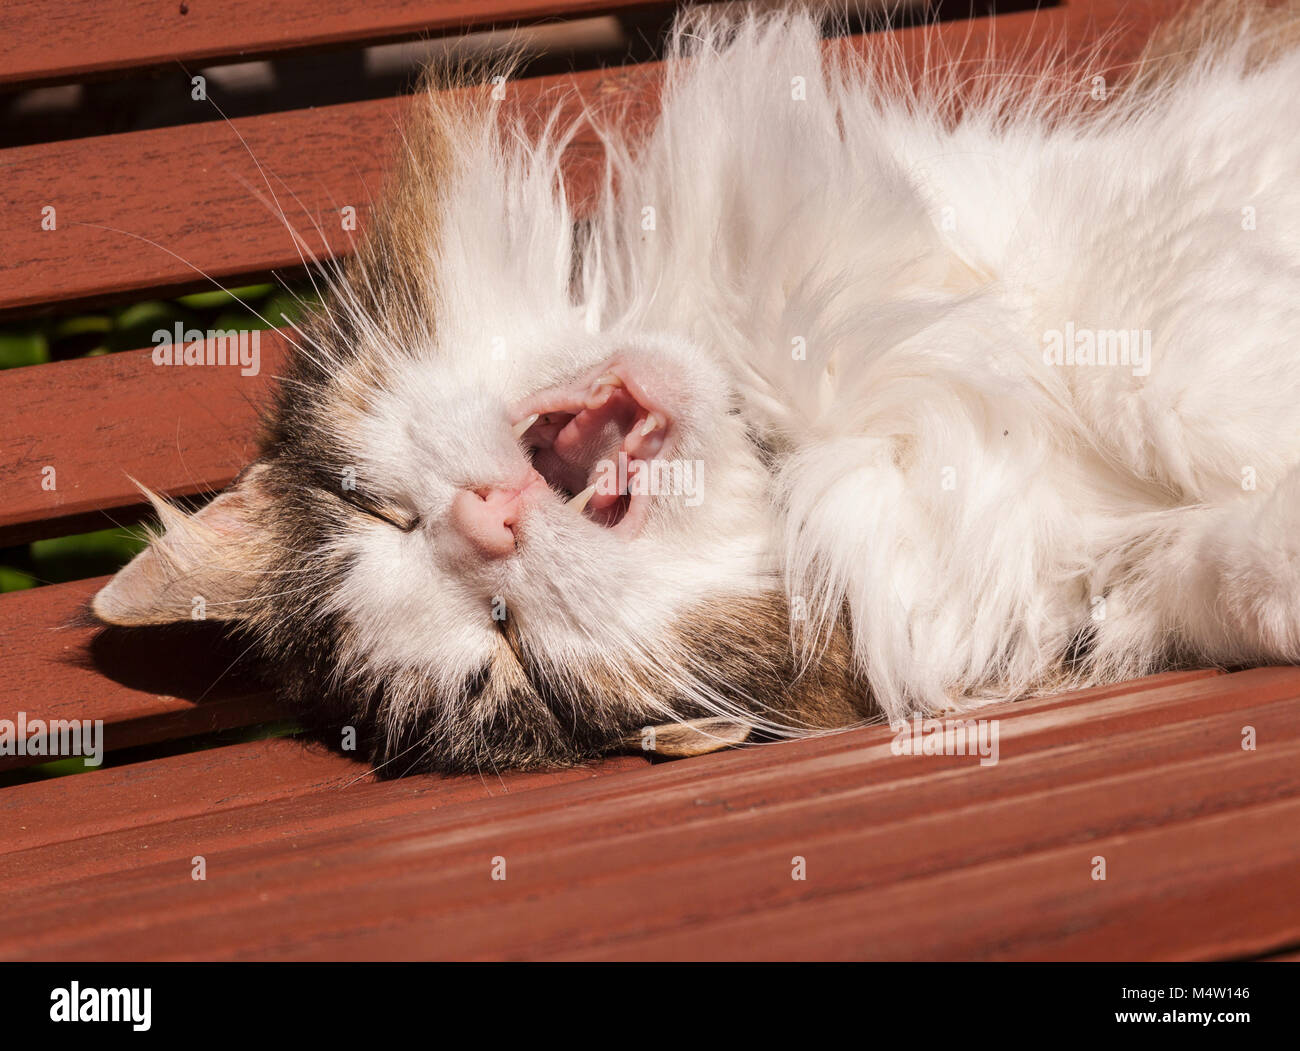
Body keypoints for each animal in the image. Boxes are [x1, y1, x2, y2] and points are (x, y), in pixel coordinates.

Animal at [91, 0, 1300, 770]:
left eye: (375, 508)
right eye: (508, 655)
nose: (482, 523)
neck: (820, 444)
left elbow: (1158, 371)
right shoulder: (1070, 596)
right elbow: (1194, 565)